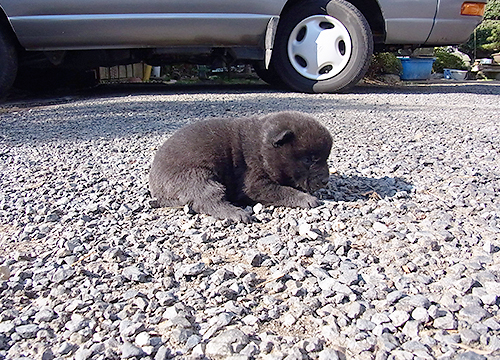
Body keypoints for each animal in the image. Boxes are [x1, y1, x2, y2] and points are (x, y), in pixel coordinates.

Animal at [150, 111, 334, 221]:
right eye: (309, 160)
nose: (326, 180)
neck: (261, 148)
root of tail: (155, 187)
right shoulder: (254, 184)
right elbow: (283, 191)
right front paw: (306, 198)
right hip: (196, 177)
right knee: (206, 200)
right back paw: (237, 213)